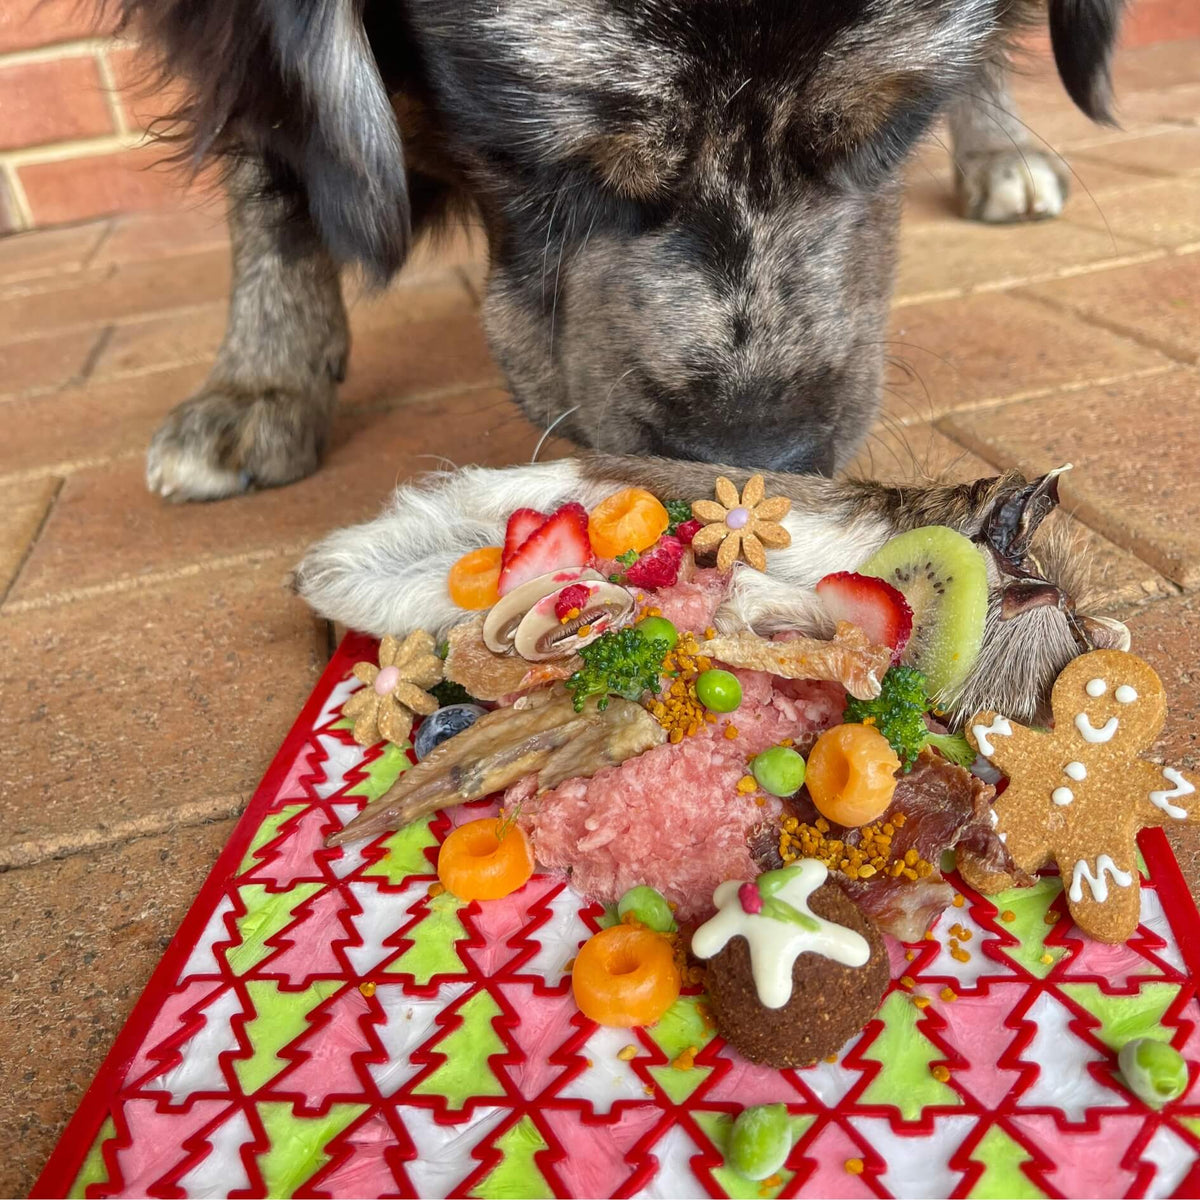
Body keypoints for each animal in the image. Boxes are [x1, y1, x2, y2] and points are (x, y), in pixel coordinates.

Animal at [112, 0, 1123, 499]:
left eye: (900, 122)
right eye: (530, 157)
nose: (753, 462)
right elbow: (273, 165)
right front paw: (261, 381)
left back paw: (1002, 148)